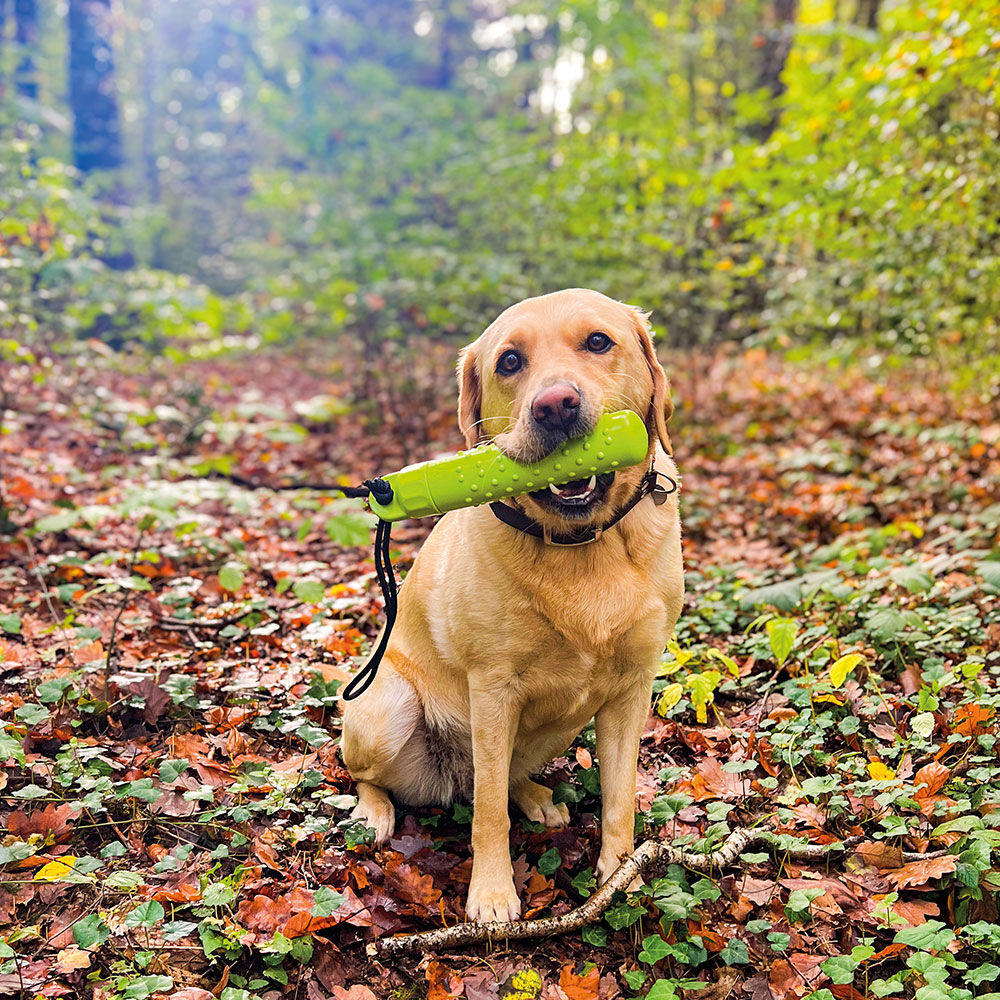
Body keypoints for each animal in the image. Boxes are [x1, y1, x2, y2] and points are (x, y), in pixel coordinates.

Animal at [340, 288, 684, 920]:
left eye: (598, 342)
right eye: (509, 362)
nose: (555, 406)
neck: (582, 545)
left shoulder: (631, 688)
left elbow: (619, 797)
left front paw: (620, 875)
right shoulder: (493, 688)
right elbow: (487, 815)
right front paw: (493, 894)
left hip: (559, 725)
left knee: (499, 778)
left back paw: (535, 794)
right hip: (388, 706)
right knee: (381, 776)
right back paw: (374, 812)